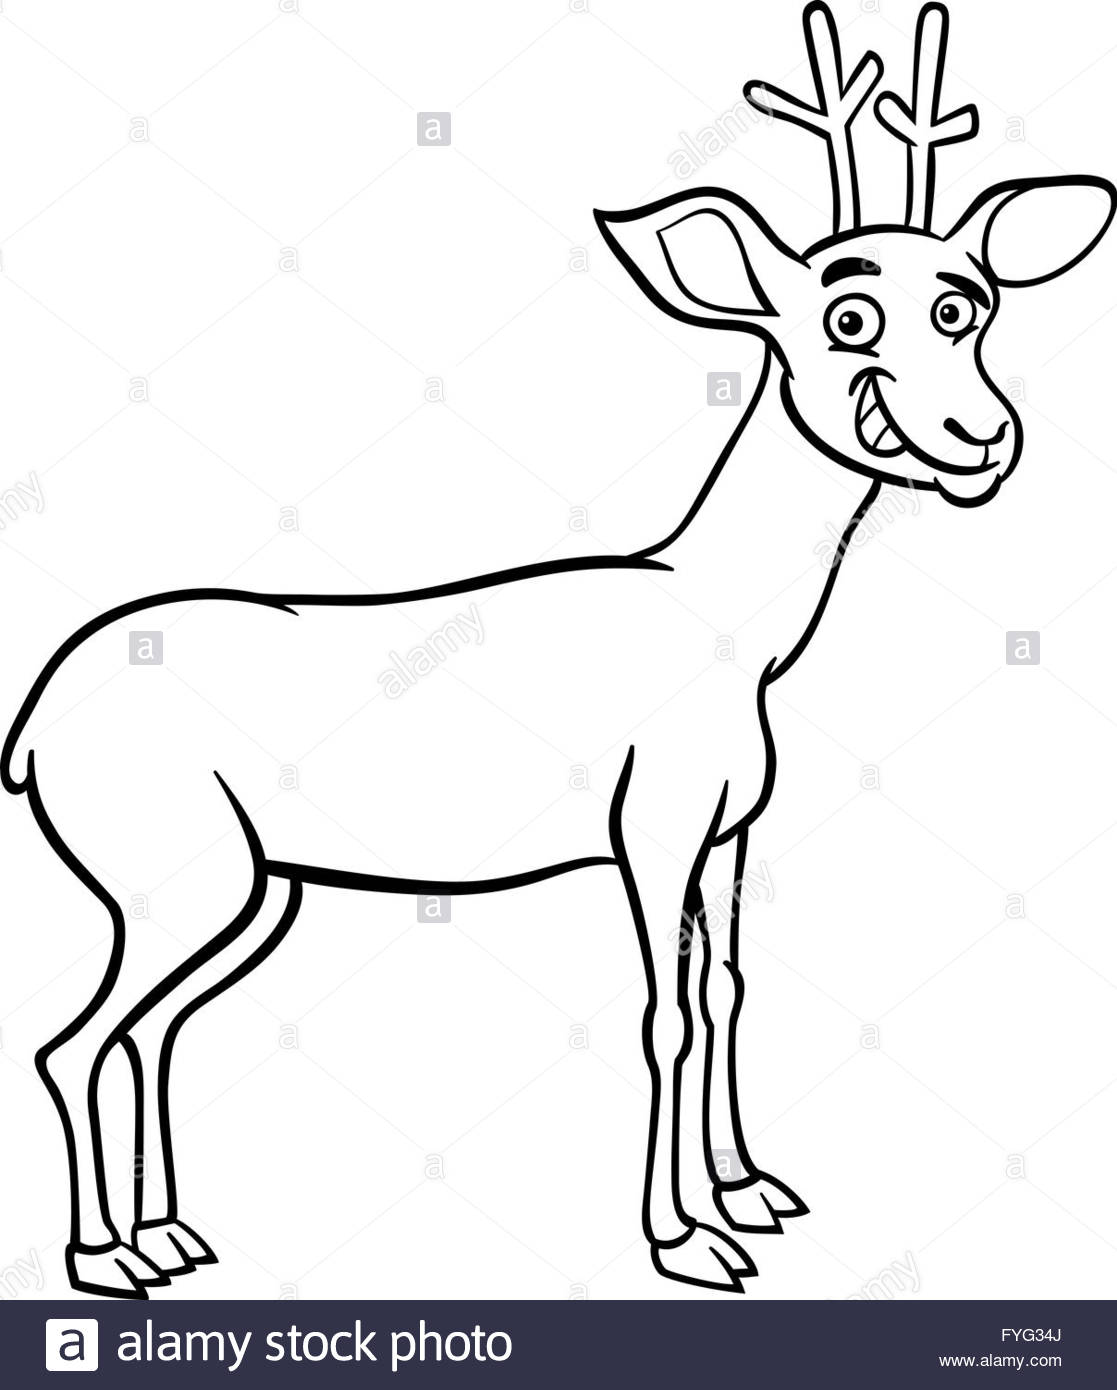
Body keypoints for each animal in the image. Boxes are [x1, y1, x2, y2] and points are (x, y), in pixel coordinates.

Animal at [2, 2, 1113, 1299]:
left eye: (966, 302)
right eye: (847, 315)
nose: (981, 436)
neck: (727, 622)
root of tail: (30, 727)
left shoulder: (730, 828)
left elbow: (724, 992)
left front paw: (752, 1191)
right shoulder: (652, 825)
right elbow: (663, 1015)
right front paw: (688, 1241)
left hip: (255, 889)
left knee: (153, 1028)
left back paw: (174, 1238)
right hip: (173, 874)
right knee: (74, 1039)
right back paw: (103, 1258)